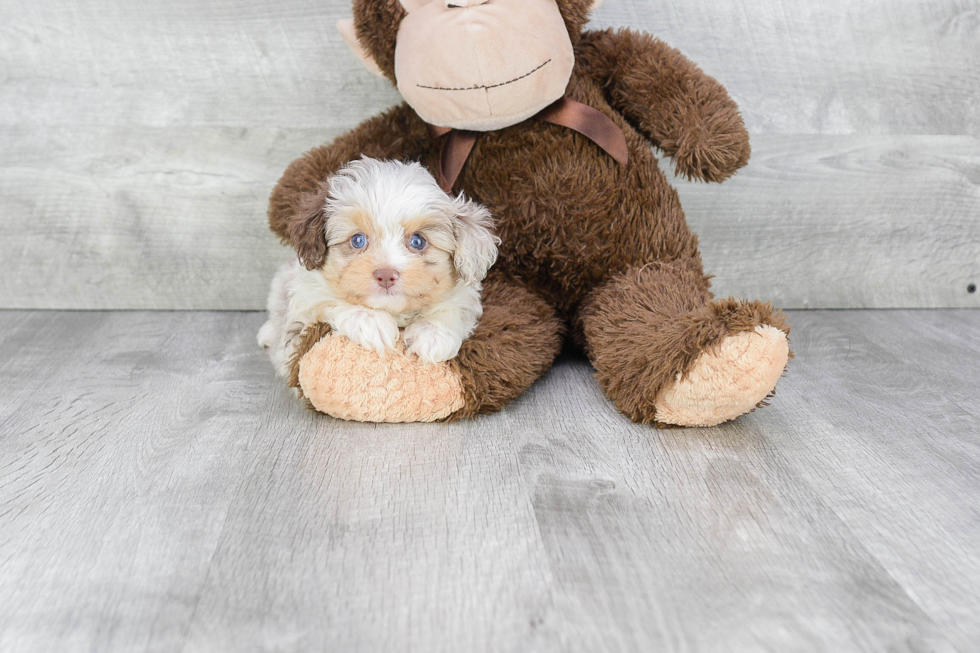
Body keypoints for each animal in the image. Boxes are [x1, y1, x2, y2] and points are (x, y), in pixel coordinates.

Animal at [258, 156, 498, 376]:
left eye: (418, 241)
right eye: (358, 240)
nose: (386, 275)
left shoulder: (463, 296)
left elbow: (454, 306)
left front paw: (433, 334)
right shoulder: (302, 306)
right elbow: (327, 300)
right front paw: (370, 321)